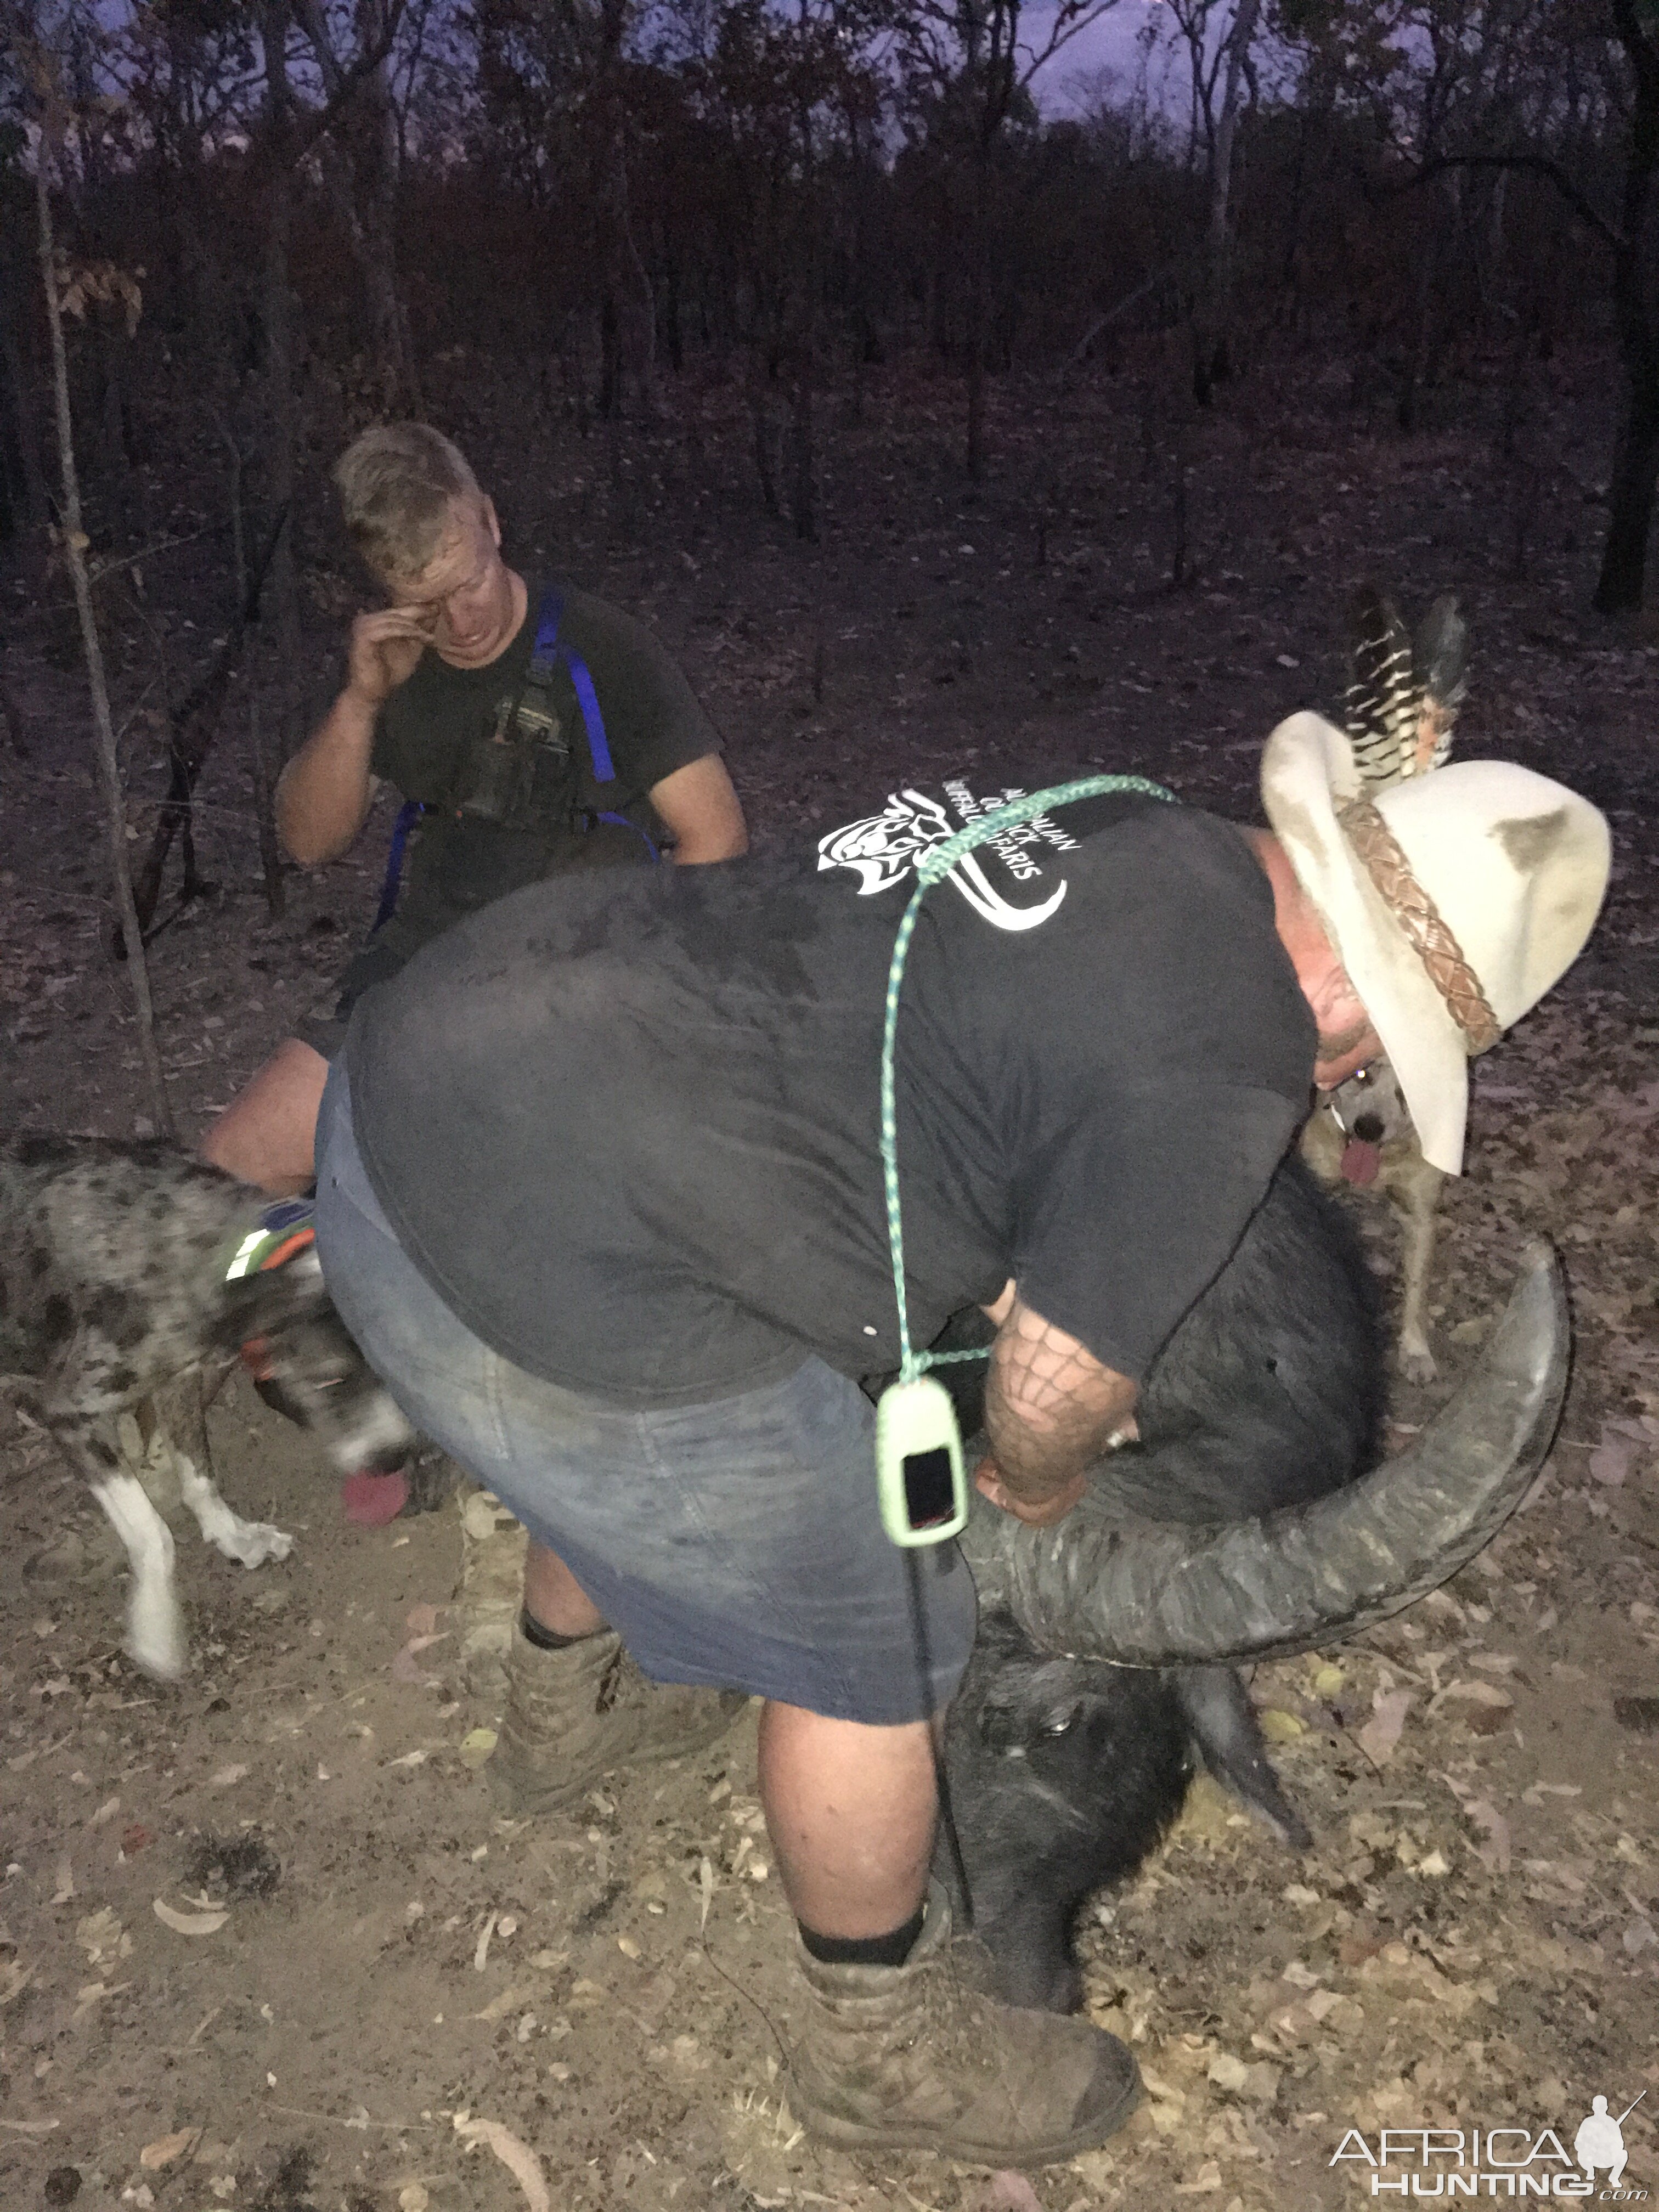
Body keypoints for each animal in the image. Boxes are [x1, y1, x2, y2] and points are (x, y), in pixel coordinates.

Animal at [1, 1141, 416, 1672]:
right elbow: (154, 1535)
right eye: (332, 1378)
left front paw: (234, 1537)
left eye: (402, 1373)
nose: (394, 1459)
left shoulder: (182, 1377)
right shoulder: (70, 1412)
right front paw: (156, 1630)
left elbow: (200, 1478)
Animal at [1309, 1057, 1451, 1380]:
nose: (1369, 1128)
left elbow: (1416, 1291)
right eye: (1362, 1075)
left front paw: (1415, 1351)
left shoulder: (1421, 1218)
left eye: (1408, 1091)